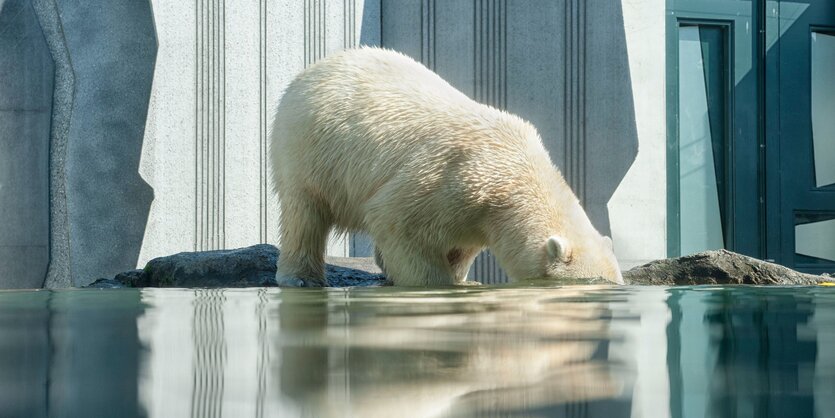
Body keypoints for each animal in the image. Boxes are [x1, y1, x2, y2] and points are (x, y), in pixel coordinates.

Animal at [272, 46, 624, 288]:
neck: (516, 174)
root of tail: (316, 67)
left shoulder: (477, 213)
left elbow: (461, 245)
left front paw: (461, 278)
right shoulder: (452, 178)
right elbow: (396, 221)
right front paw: (438, 283)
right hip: (311, 149)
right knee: (304, 212)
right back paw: (302, 277)